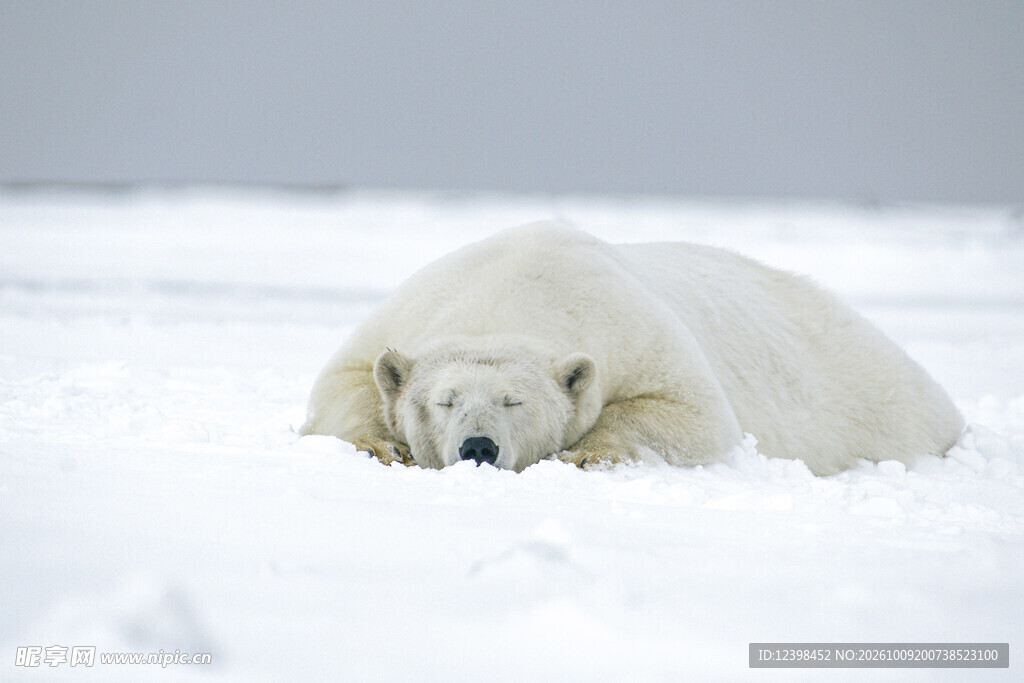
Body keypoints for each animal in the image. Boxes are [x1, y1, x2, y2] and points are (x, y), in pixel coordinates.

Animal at [300, 222, 963, 475]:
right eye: (445, 400)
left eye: (515, 402)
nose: (479, 447)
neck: (512, 290)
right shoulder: (409, 311)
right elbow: (345, 383)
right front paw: (382, 446)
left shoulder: (629, 327)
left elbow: (691, 414)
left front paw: (587, 454)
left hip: (872, 394)